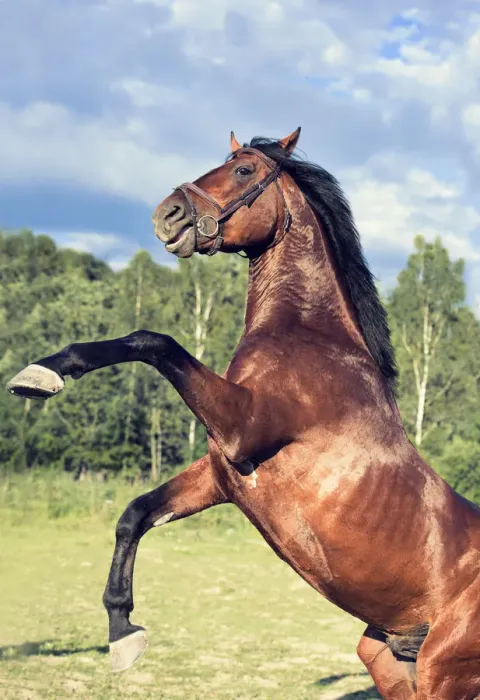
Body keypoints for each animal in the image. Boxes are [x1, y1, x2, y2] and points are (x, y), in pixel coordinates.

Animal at [7, 128, 480, 699]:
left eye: (244, 171)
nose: (167, 215)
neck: (311, 339)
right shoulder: (221, 474)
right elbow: (135, 514)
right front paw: (123, 632)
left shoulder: (242, 427)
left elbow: (153, 340)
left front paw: (43, 375)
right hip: (389, 659)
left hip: (443, 670)